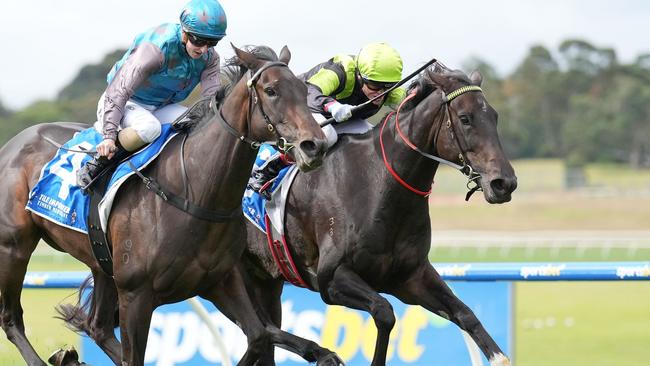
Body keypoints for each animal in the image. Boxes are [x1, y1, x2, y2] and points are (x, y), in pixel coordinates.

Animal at [0, 46, 334, 366]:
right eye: (271, 90)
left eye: (303, 90)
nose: (314, 145)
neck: (195, 193)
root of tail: (12, 144)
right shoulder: (136, 295)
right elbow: (135, 357)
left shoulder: (220, 280)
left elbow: (260, 337)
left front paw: (322, 353)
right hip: (14, 247)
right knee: (11, 317)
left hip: (101, 264)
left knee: (99, 326)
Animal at [234, 64, 516, 364]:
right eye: (465, 118)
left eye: (494, 116)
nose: (505, 183)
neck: (377, 185)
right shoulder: (331, 279)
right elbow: (384, 312)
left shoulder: (411, 277)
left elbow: (466, 314)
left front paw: (498, 355)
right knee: (261, 329)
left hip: (267, 279)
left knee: (264, 331)